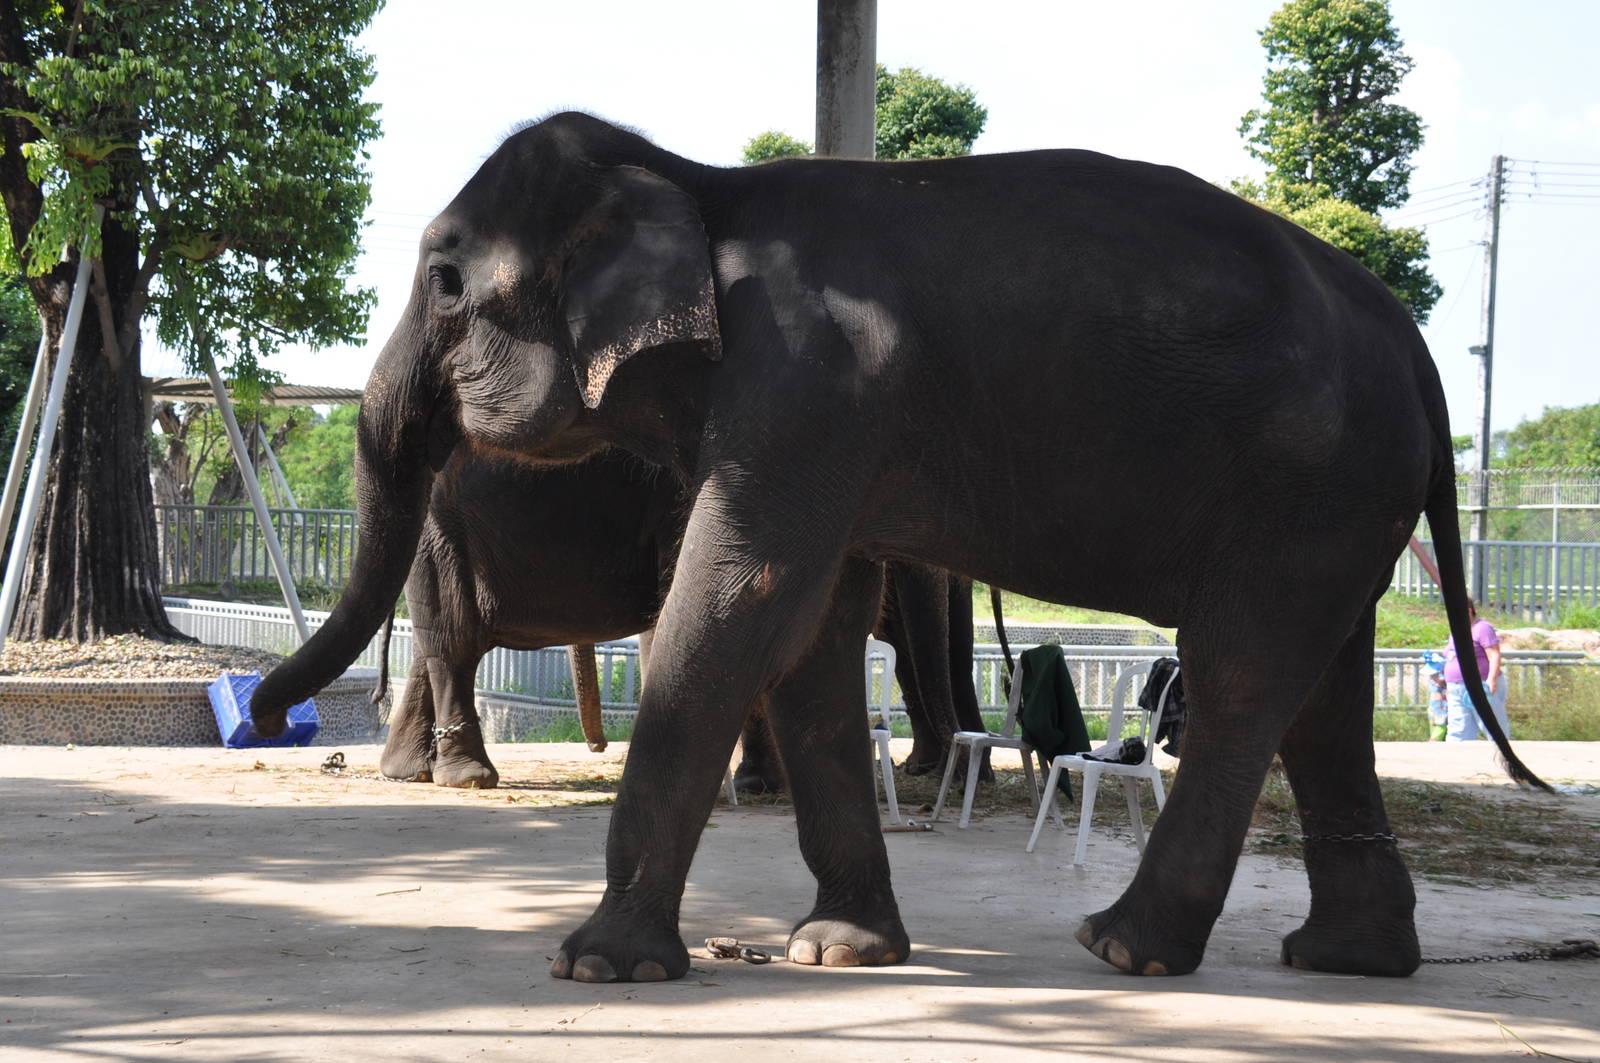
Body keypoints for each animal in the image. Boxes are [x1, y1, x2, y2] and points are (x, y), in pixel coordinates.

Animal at [252, 112, 1542, 985]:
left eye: (445, 281)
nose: (263, 714)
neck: (694, 183)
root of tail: (1415, 345)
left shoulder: (808, 386)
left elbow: (743, 599)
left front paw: (600, 964)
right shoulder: (817, 419)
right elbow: (810, 628)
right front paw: (839, 951)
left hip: (1306, 482)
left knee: (1242, 672)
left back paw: (1123, 947)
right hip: (1339, 496)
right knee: (1325, 691)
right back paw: (1344, 958)